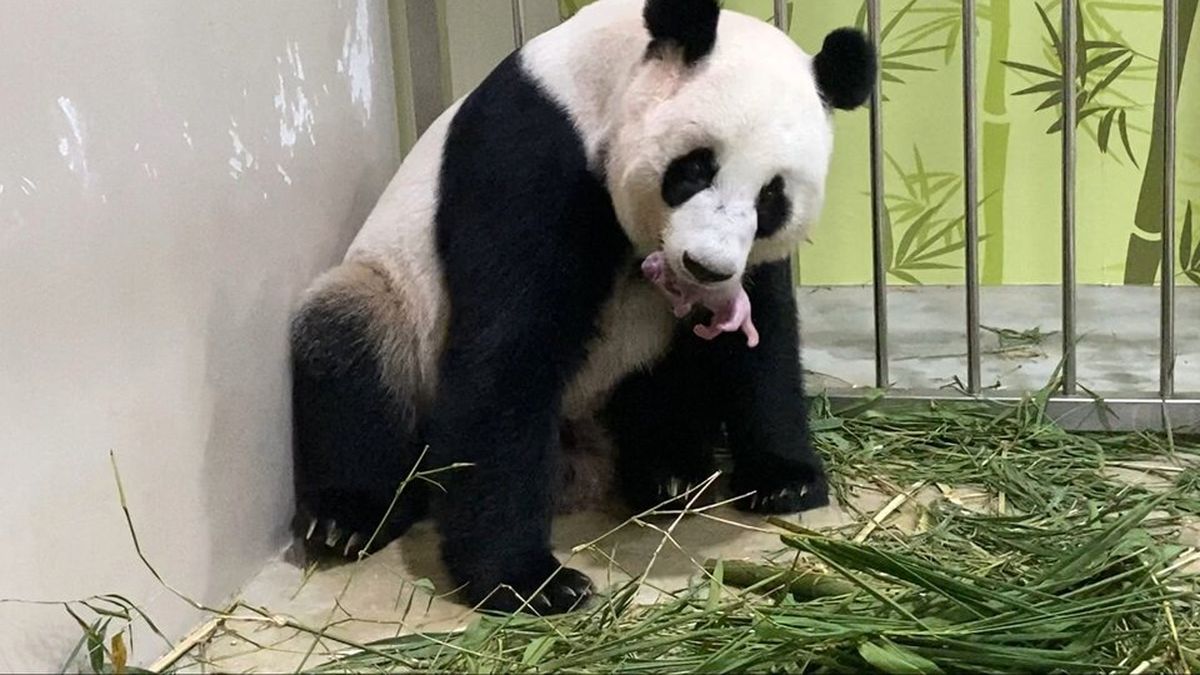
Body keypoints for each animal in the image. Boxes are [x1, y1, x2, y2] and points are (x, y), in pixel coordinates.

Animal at [289, 0, 875, 615]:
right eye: (695, 169)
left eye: (772, 197)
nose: (706, 266)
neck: (601, 82)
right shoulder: (531, 151)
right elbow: (509, 348)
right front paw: (530, 582)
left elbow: (763, 335)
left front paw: (785, 479)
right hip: (395, 306)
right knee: (351, 346)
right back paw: (349, 519)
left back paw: (668, 471)